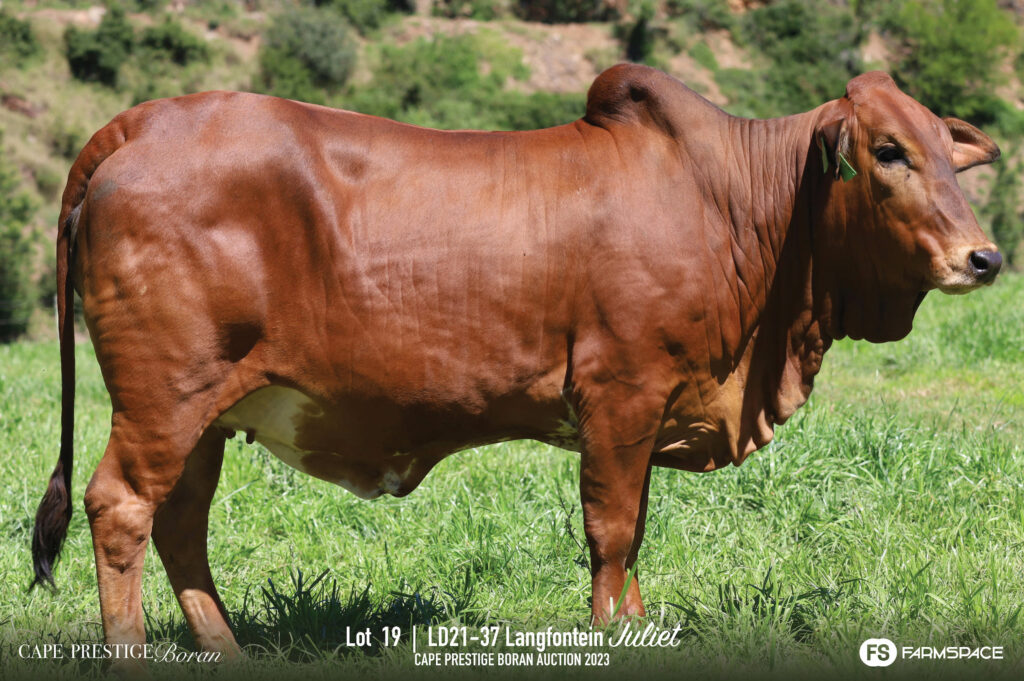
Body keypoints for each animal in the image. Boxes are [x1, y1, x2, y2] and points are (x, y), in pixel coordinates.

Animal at [32, 64, 1001, 668]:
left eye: (949, 154)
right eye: (888, 151)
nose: (984, 257)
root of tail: (143, 121)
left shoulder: (647, 415)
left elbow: (635, 532)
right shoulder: (621, 391)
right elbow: (612, 532)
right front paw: (609, 634)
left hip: (205, 412)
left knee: (179, 522)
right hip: (165, 395)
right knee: (121, 506)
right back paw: (131, 657)